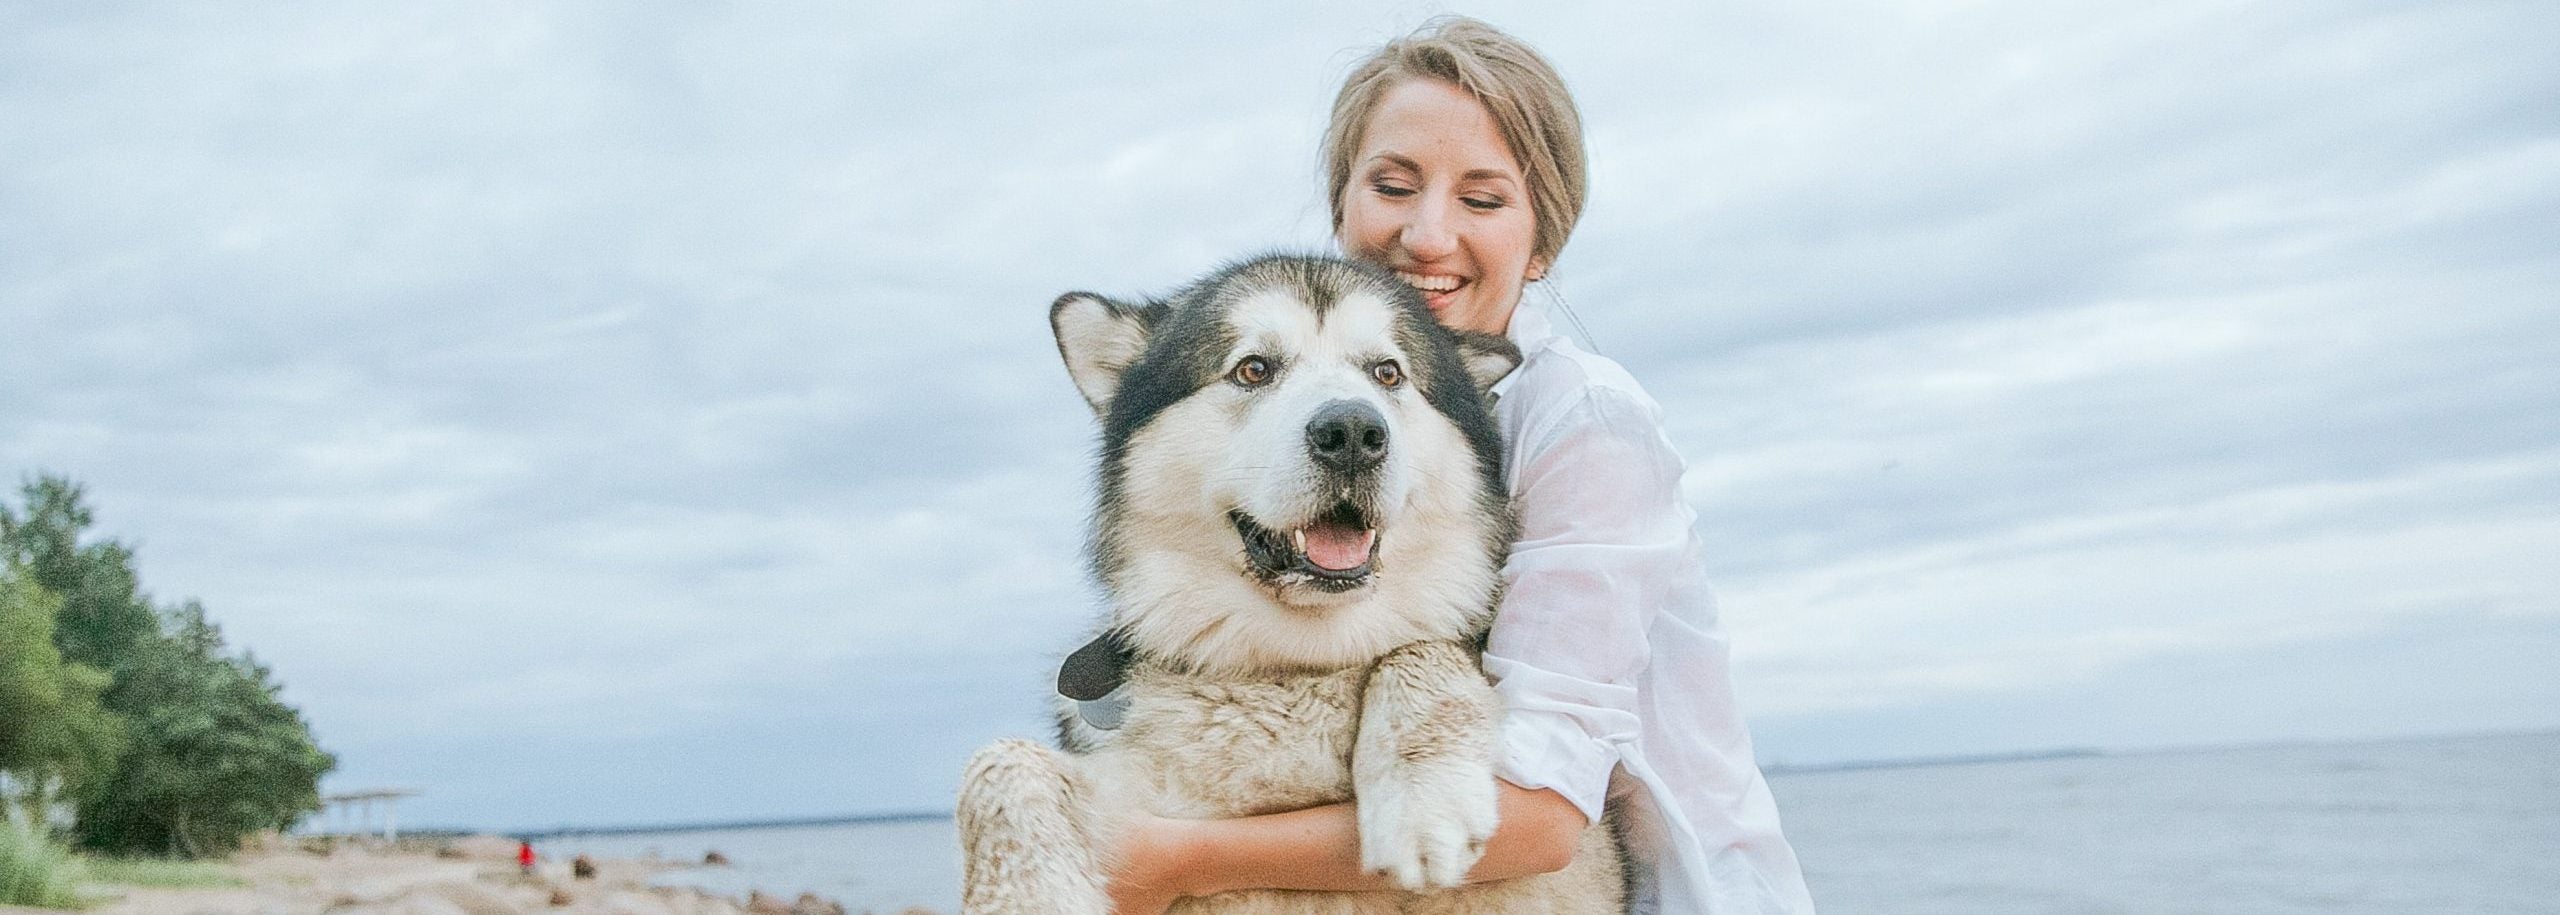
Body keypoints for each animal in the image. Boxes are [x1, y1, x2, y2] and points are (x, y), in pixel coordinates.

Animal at [962, 255, 1617, 912]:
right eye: (1253, 369)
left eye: (1387, 372)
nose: (1352, 431)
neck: (1295, 666)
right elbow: (1000, 761)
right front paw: (1027, 893)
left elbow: (1418, 646)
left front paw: (1426, 799)